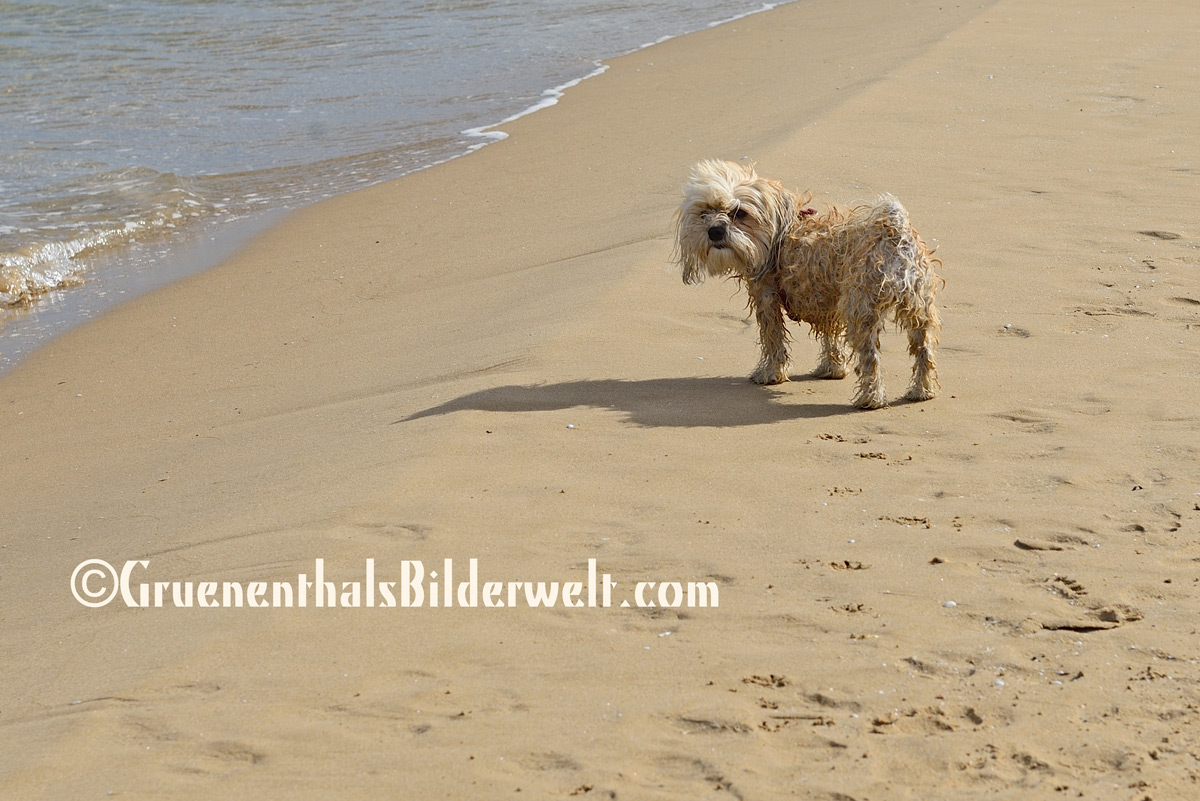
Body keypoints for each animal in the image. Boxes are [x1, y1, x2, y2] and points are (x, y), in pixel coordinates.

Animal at [672, 159, 940, 410]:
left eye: (739, 213)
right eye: (704, 213)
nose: (714, 231)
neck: (779, 234)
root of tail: (894, 233)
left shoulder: (767, 298)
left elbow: (773, 338)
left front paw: (770, 374)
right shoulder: (828, 302)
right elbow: (830, 337)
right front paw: (831, 368)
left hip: (861, 311)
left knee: (870, 359)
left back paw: (870, 399)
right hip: (919, 309)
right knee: (924, 351)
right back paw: (921, 391)